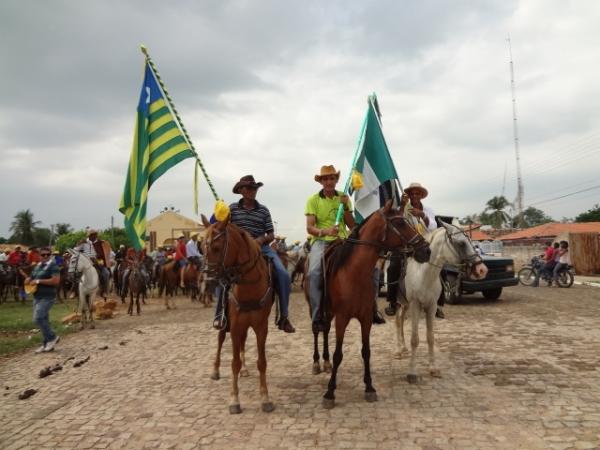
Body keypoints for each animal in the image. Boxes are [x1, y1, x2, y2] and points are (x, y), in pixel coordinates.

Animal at [202, 214, 276, 414]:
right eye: (202, 247)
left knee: (243, 343)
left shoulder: (261, 327)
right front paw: (234, 400)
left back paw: (244, 369)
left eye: (217, 247)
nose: (207, 280)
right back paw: (215, 370)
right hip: (226, 322)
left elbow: (262, 362)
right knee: (221, 339)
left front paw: (265, 398)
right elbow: (233, 362)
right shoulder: (234, 326)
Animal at [308, 200, 428, 408]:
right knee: (317, 330)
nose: (426, 250)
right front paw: (330, 393)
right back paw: (317, 362)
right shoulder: (342, 318)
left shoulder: (365, 318)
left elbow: (366, 352)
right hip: (317, 310)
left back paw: (325, 361)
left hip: (329, 312)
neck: (354, 273)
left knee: (325, 331)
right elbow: (339, 354)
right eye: (400, 223)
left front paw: (370, 387)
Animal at [396, 221, 490, 384]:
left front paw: (433, 369)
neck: (424, 274)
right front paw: (412, 372)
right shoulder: (415, 305)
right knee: (397, 319)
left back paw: (403, 348)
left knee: (401, 319)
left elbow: (430, 337)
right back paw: (398, 350)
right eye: (461, 243)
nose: (482, 270)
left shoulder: (431, 306)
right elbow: (415, 339)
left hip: (405, 303)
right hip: (400, 302)